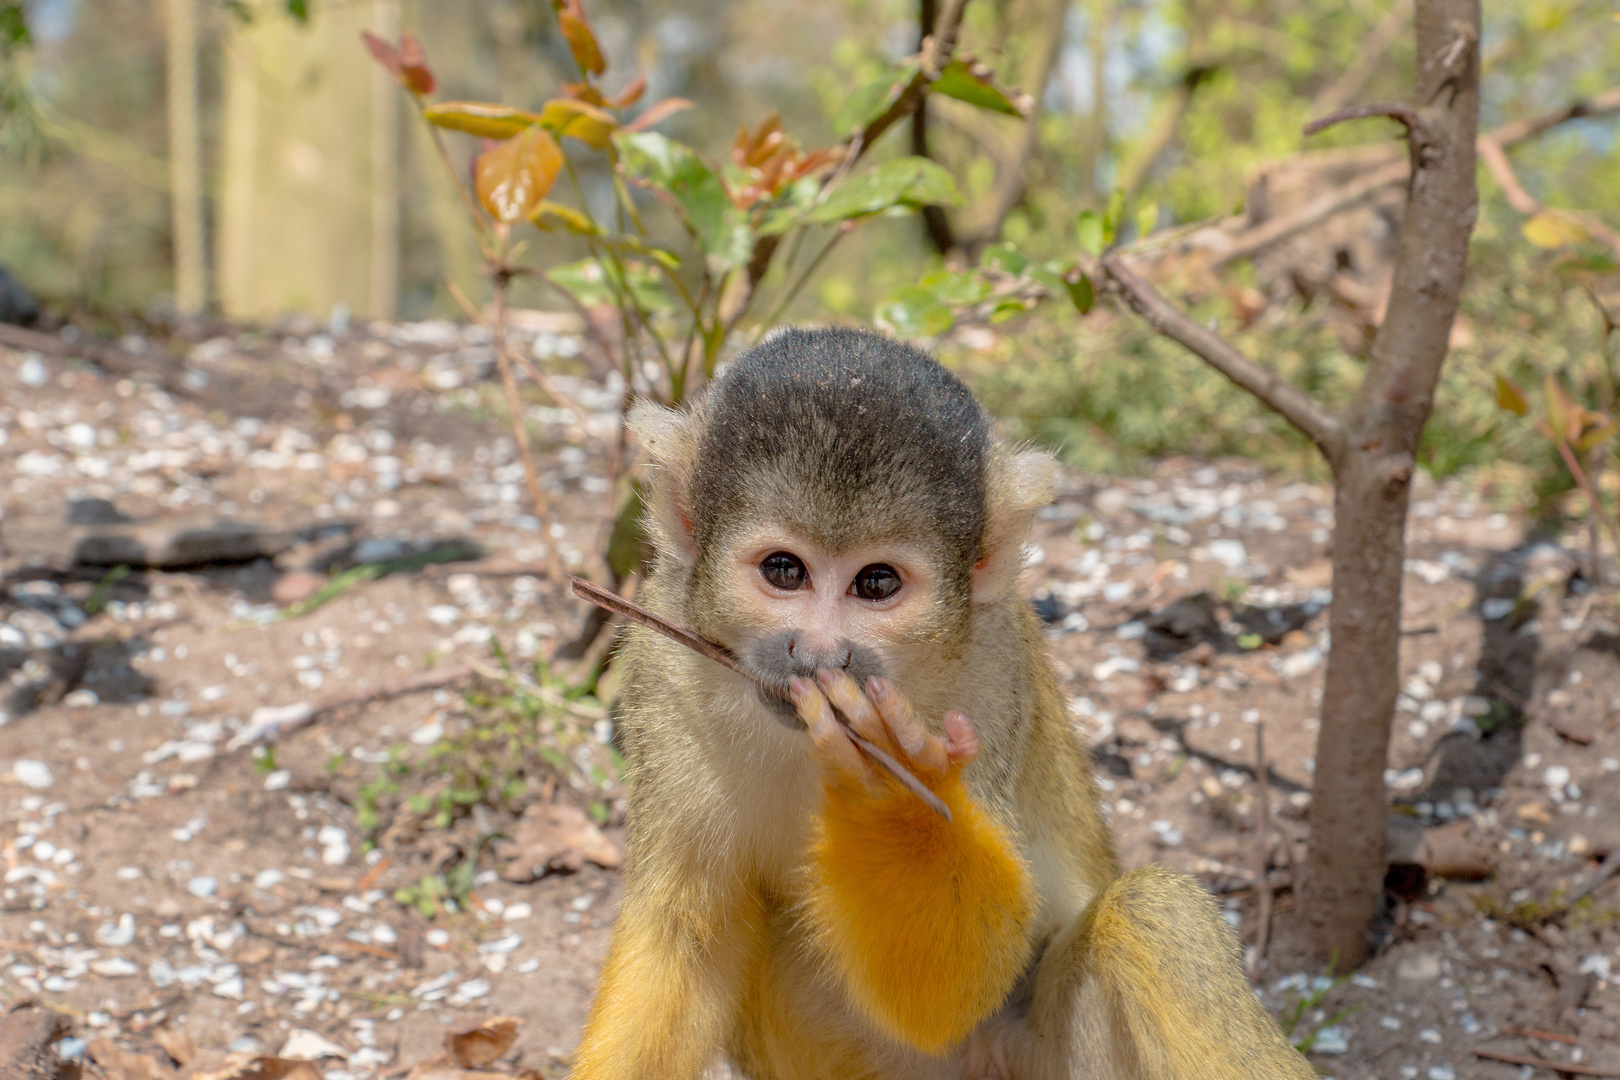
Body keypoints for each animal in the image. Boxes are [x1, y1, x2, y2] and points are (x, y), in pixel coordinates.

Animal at [570, 330, 1315, 1080]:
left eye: (877, 583)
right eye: (785, 570)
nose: (818, 654)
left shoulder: (989, 673)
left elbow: (950, 996)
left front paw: (892, 796)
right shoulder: (663, 663)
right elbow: (682, 940)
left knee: (1151, 914)